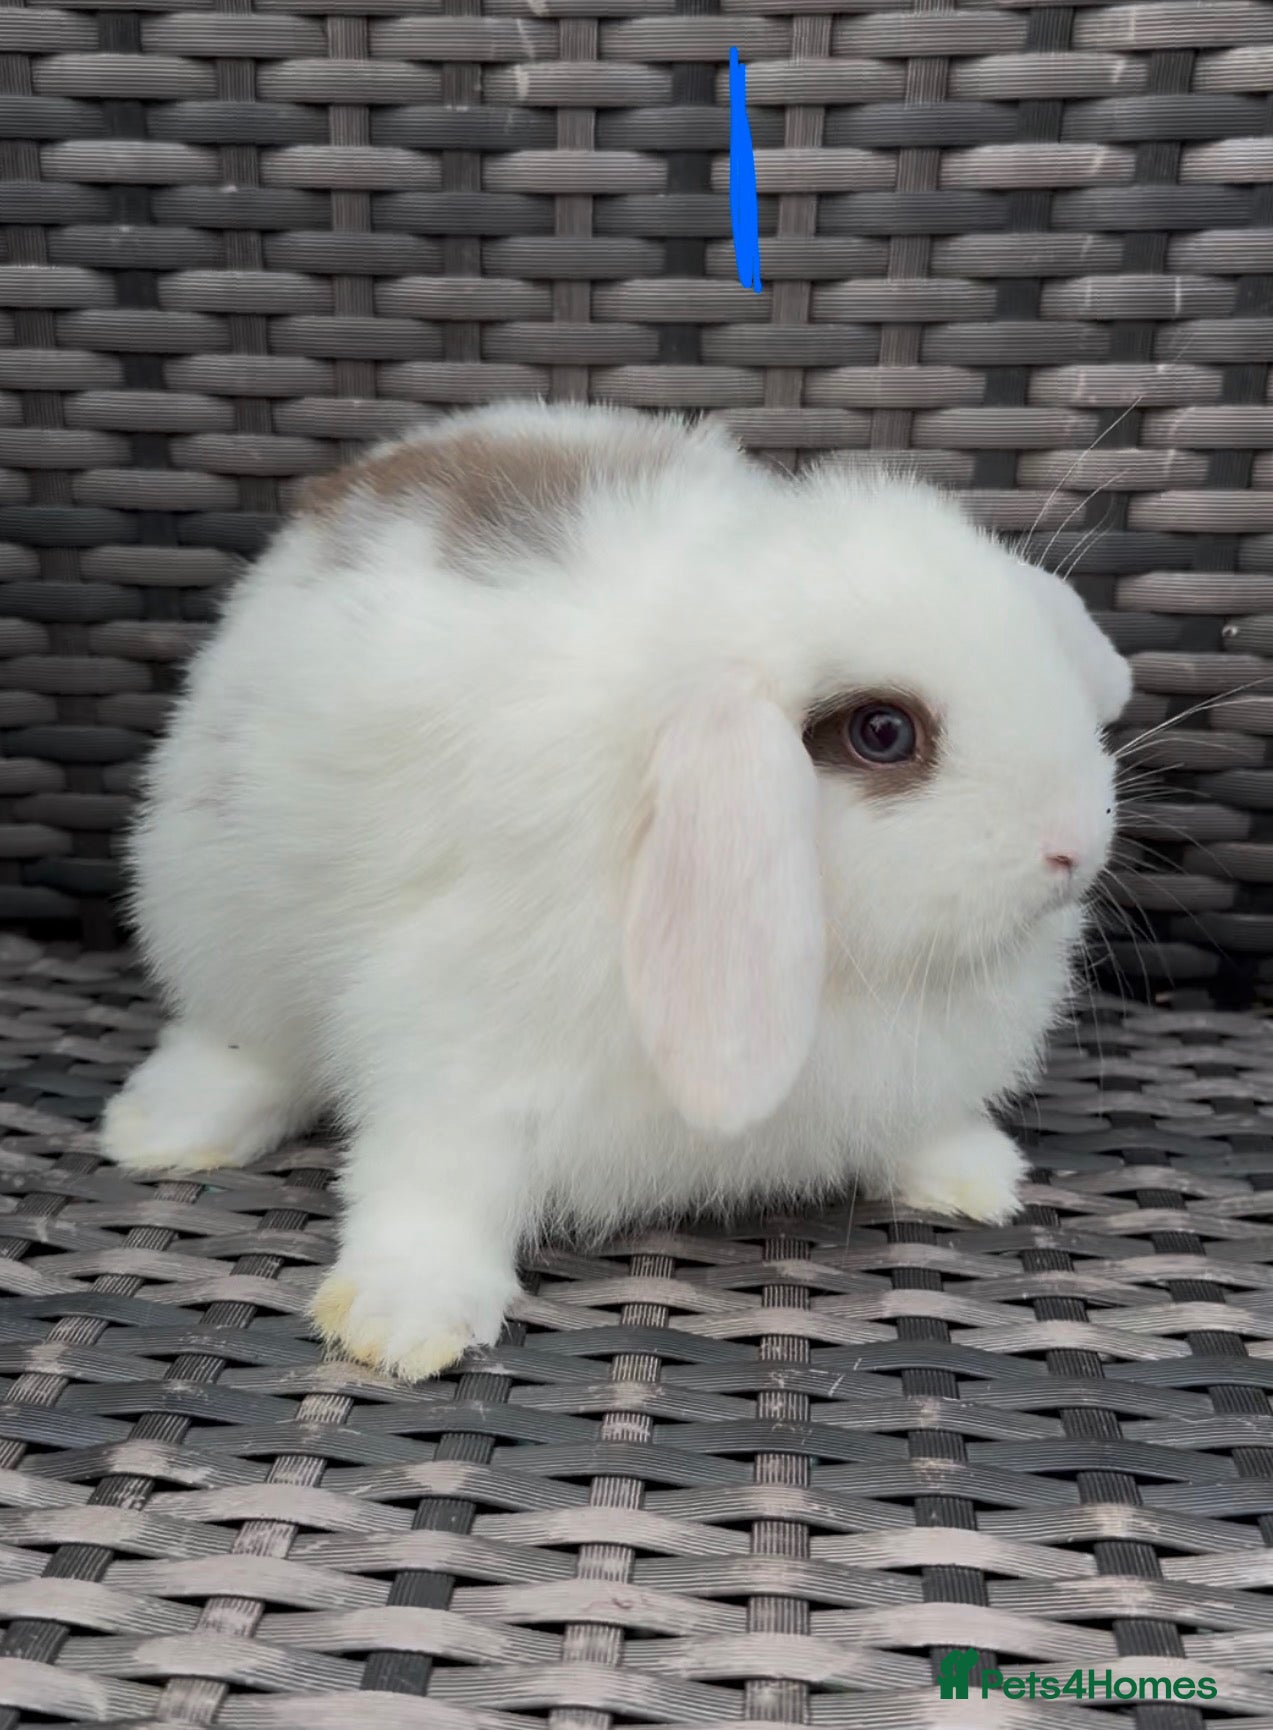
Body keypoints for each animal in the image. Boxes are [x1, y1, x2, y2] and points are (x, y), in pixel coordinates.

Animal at [100, 400, 1130, 1381]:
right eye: (882, 732)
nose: (1073, 846)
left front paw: (975, 1178)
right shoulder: (459, 1047)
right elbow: (433, 1181)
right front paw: (403, 1325)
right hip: (219, 920)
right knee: (241, 1046)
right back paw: (161, 1132)